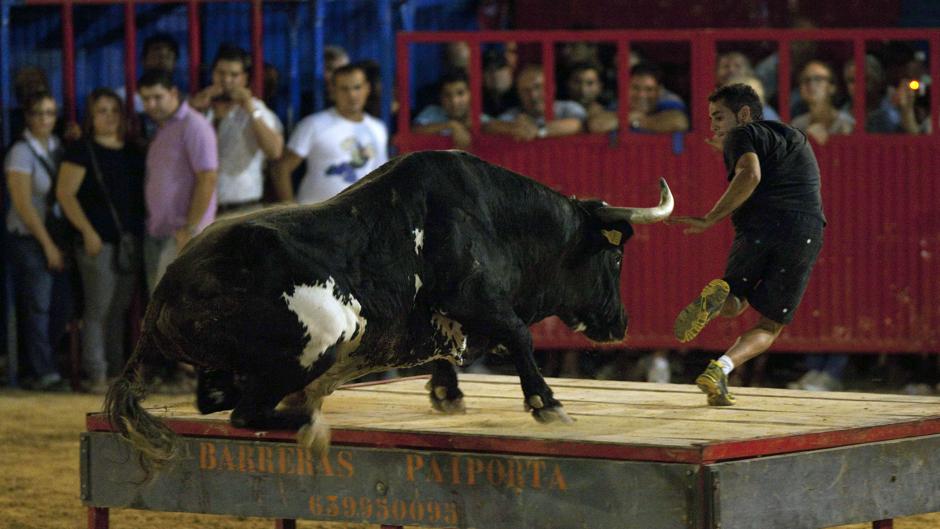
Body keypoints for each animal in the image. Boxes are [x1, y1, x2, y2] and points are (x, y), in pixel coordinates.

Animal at [106, 148, 672, 462]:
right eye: (617, 259)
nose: (620, 324)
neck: (493, 217)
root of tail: (164, 292)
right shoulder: (473, 297)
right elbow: (519, 335)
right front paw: (546, 403)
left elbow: (453, 347)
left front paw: (446, 391)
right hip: (324, 334)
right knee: (249, 411)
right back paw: (312, 421)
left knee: (219, 400)